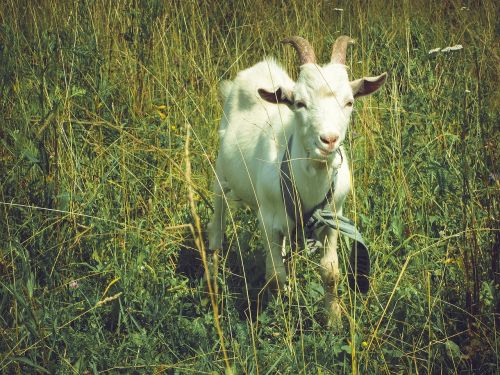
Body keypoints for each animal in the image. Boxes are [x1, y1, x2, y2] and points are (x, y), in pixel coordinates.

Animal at [207, 37, 386, 326]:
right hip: (221, 176)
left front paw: (334, 320)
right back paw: (211, 278)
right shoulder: (267, 219)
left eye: (349, 102)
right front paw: (283, 315)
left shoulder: (333, 218)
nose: (329, 140)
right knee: (217, 225)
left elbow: (330, 272)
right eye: (300, 103)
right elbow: (275, 276)